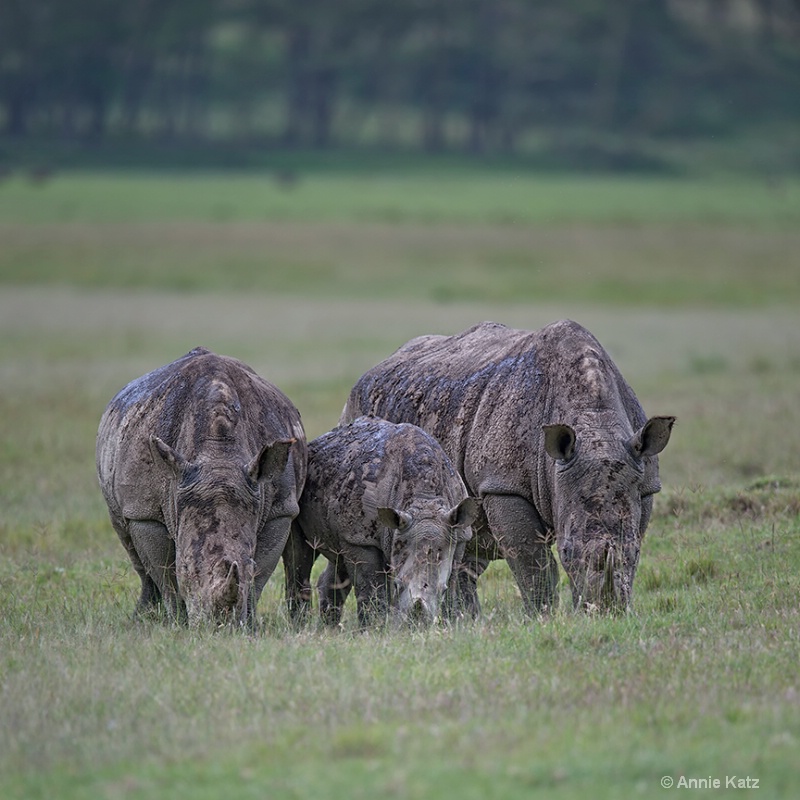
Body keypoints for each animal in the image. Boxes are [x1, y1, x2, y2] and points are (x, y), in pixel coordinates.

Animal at [94, 346, 306, 628]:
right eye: (185, 568)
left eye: (248, 563)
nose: (218, 627)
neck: (218, 455)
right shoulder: (144, 512)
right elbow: (165, 574)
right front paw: (178, 624)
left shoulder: (279, 510)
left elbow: (259, 575)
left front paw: (250, 625)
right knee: (128, 541)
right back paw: (143, 618)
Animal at [284, 416, 478, 628]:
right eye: (397, 585)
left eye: (442, 591)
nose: (415, 626)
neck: (425, 499)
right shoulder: (361, 538)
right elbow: (371, 587)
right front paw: (374, 628)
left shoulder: (457, 534)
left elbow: (454, 583)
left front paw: (452, 623)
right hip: (302, 487)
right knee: (298, 556)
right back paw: (298, 626)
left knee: (338, 559)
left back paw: (328, 628)